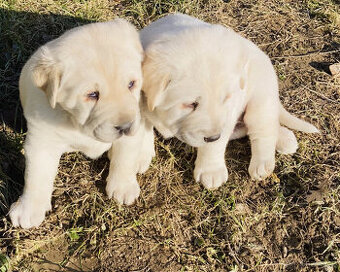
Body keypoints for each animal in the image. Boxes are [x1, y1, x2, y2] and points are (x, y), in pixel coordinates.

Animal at [8, 18, 147, 230]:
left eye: (131, 84)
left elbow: (125, 156)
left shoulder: (134, 118)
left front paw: (123, 186)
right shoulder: (42, 141)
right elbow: (36, 175)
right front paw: (29, 208)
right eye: (92, 95)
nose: (125, 127)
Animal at [139, 13, 318, 189]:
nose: (213, 137)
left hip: (261, 96)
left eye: (225, 98)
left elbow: (216, 145)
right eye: (191, 104)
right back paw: (285, 139)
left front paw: (211, 170)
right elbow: (141, 127)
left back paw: (264, 163)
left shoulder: (230, 110)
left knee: (263, 128)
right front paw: (142, 154)